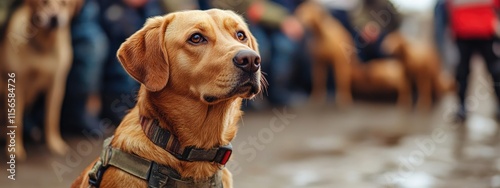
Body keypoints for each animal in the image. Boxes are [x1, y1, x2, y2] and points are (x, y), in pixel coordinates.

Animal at [0, 0, 83, 160]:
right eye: (44, 2)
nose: (54, 18)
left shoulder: (57, 85)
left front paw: (55, 144)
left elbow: (52, 118)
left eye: (64, 3)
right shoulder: (17, 86)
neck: (44, 44)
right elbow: (16, 120)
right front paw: (15, 149)